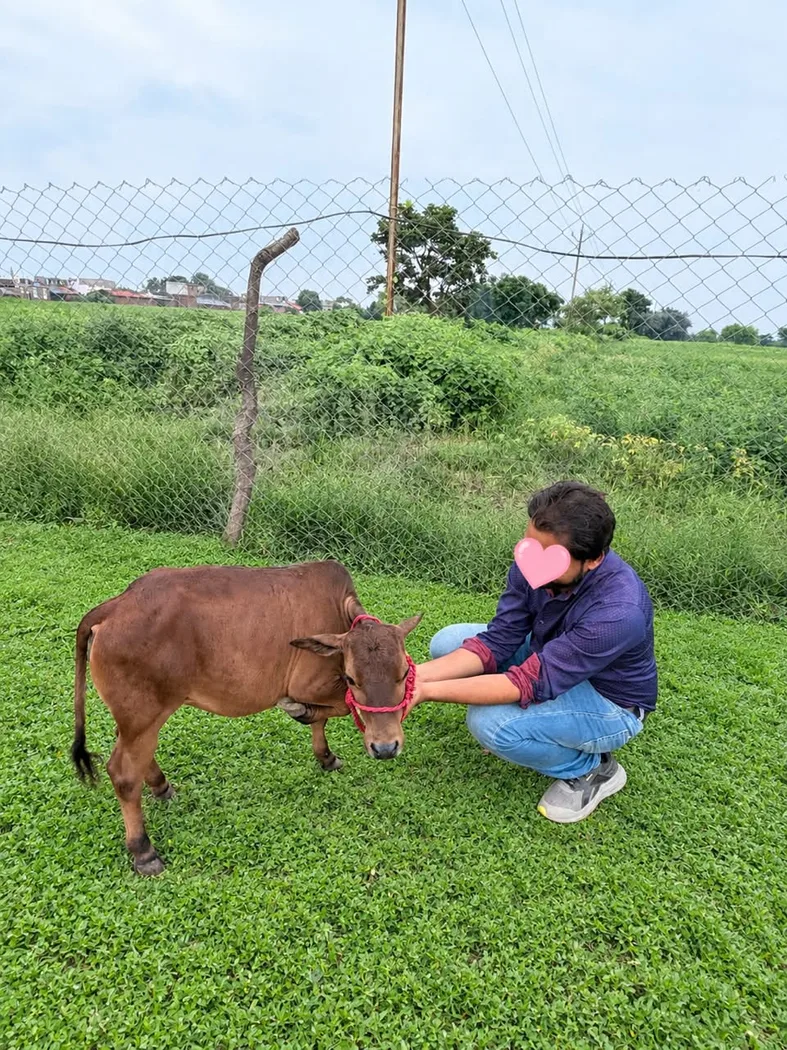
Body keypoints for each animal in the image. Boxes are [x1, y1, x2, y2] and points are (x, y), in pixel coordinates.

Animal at [71, 559, 422, 876]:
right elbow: (340, 707)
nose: (385, 747)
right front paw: (303, 714)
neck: (338, 612)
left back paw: (162, 787)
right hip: (143, 715)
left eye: (404, 673)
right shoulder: (308, 684)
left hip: (139, 719)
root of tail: (115, 606)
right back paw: (144, 851)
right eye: (352, 679)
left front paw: (324, 754)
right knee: (123, 773)